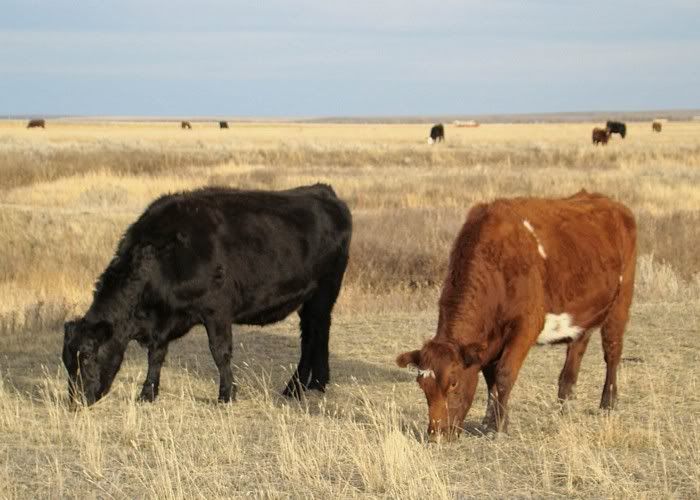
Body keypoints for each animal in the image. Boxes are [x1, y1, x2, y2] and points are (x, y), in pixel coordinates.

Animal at [62, 184, 352, 407]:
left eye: (86, 356)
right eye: (66, 362)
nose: (76, 402)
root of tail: (323, 191)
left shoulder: (217, 310)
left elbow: (220, 352)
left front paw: (226, 395)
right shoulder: (162, 322)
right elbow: (156, 355)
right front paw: (147, 394)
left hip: (323, 292)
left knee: (315, 334)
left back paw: (298, 387)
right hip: (310, 299)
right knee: (313, 334)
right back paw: (313, 384)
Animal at [396, 190, 636, 439]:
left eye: (453, 383)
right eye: (423, 386)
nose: (437, 435)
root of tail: (609, 202)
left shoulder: (526, 326)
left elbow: (504, 374)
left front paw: (500, 426)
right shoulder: (489, 340)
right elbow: (490, 377)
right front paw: (489, 421)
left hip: (620, 302)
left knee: (612, 352)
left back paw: (608, 402)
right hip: (582, 313)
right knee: (576, 352)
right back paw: (565, 404)